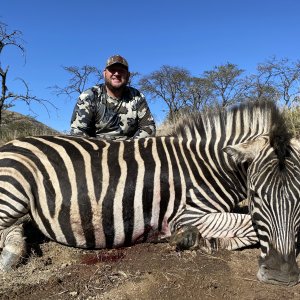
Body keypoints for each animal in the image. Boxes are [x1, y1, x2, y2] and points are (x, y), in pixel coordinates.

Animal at [0, 101, 298, 286]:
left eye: (299, 200)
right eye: (256, 195)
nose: (282, 277)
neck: (207, 166)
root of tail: (11, 143)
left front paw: (206, 241)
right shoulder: (187, 214)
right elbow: (248, 224)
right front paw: (193, 239)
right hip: (13, 187)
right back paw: (10, 257)